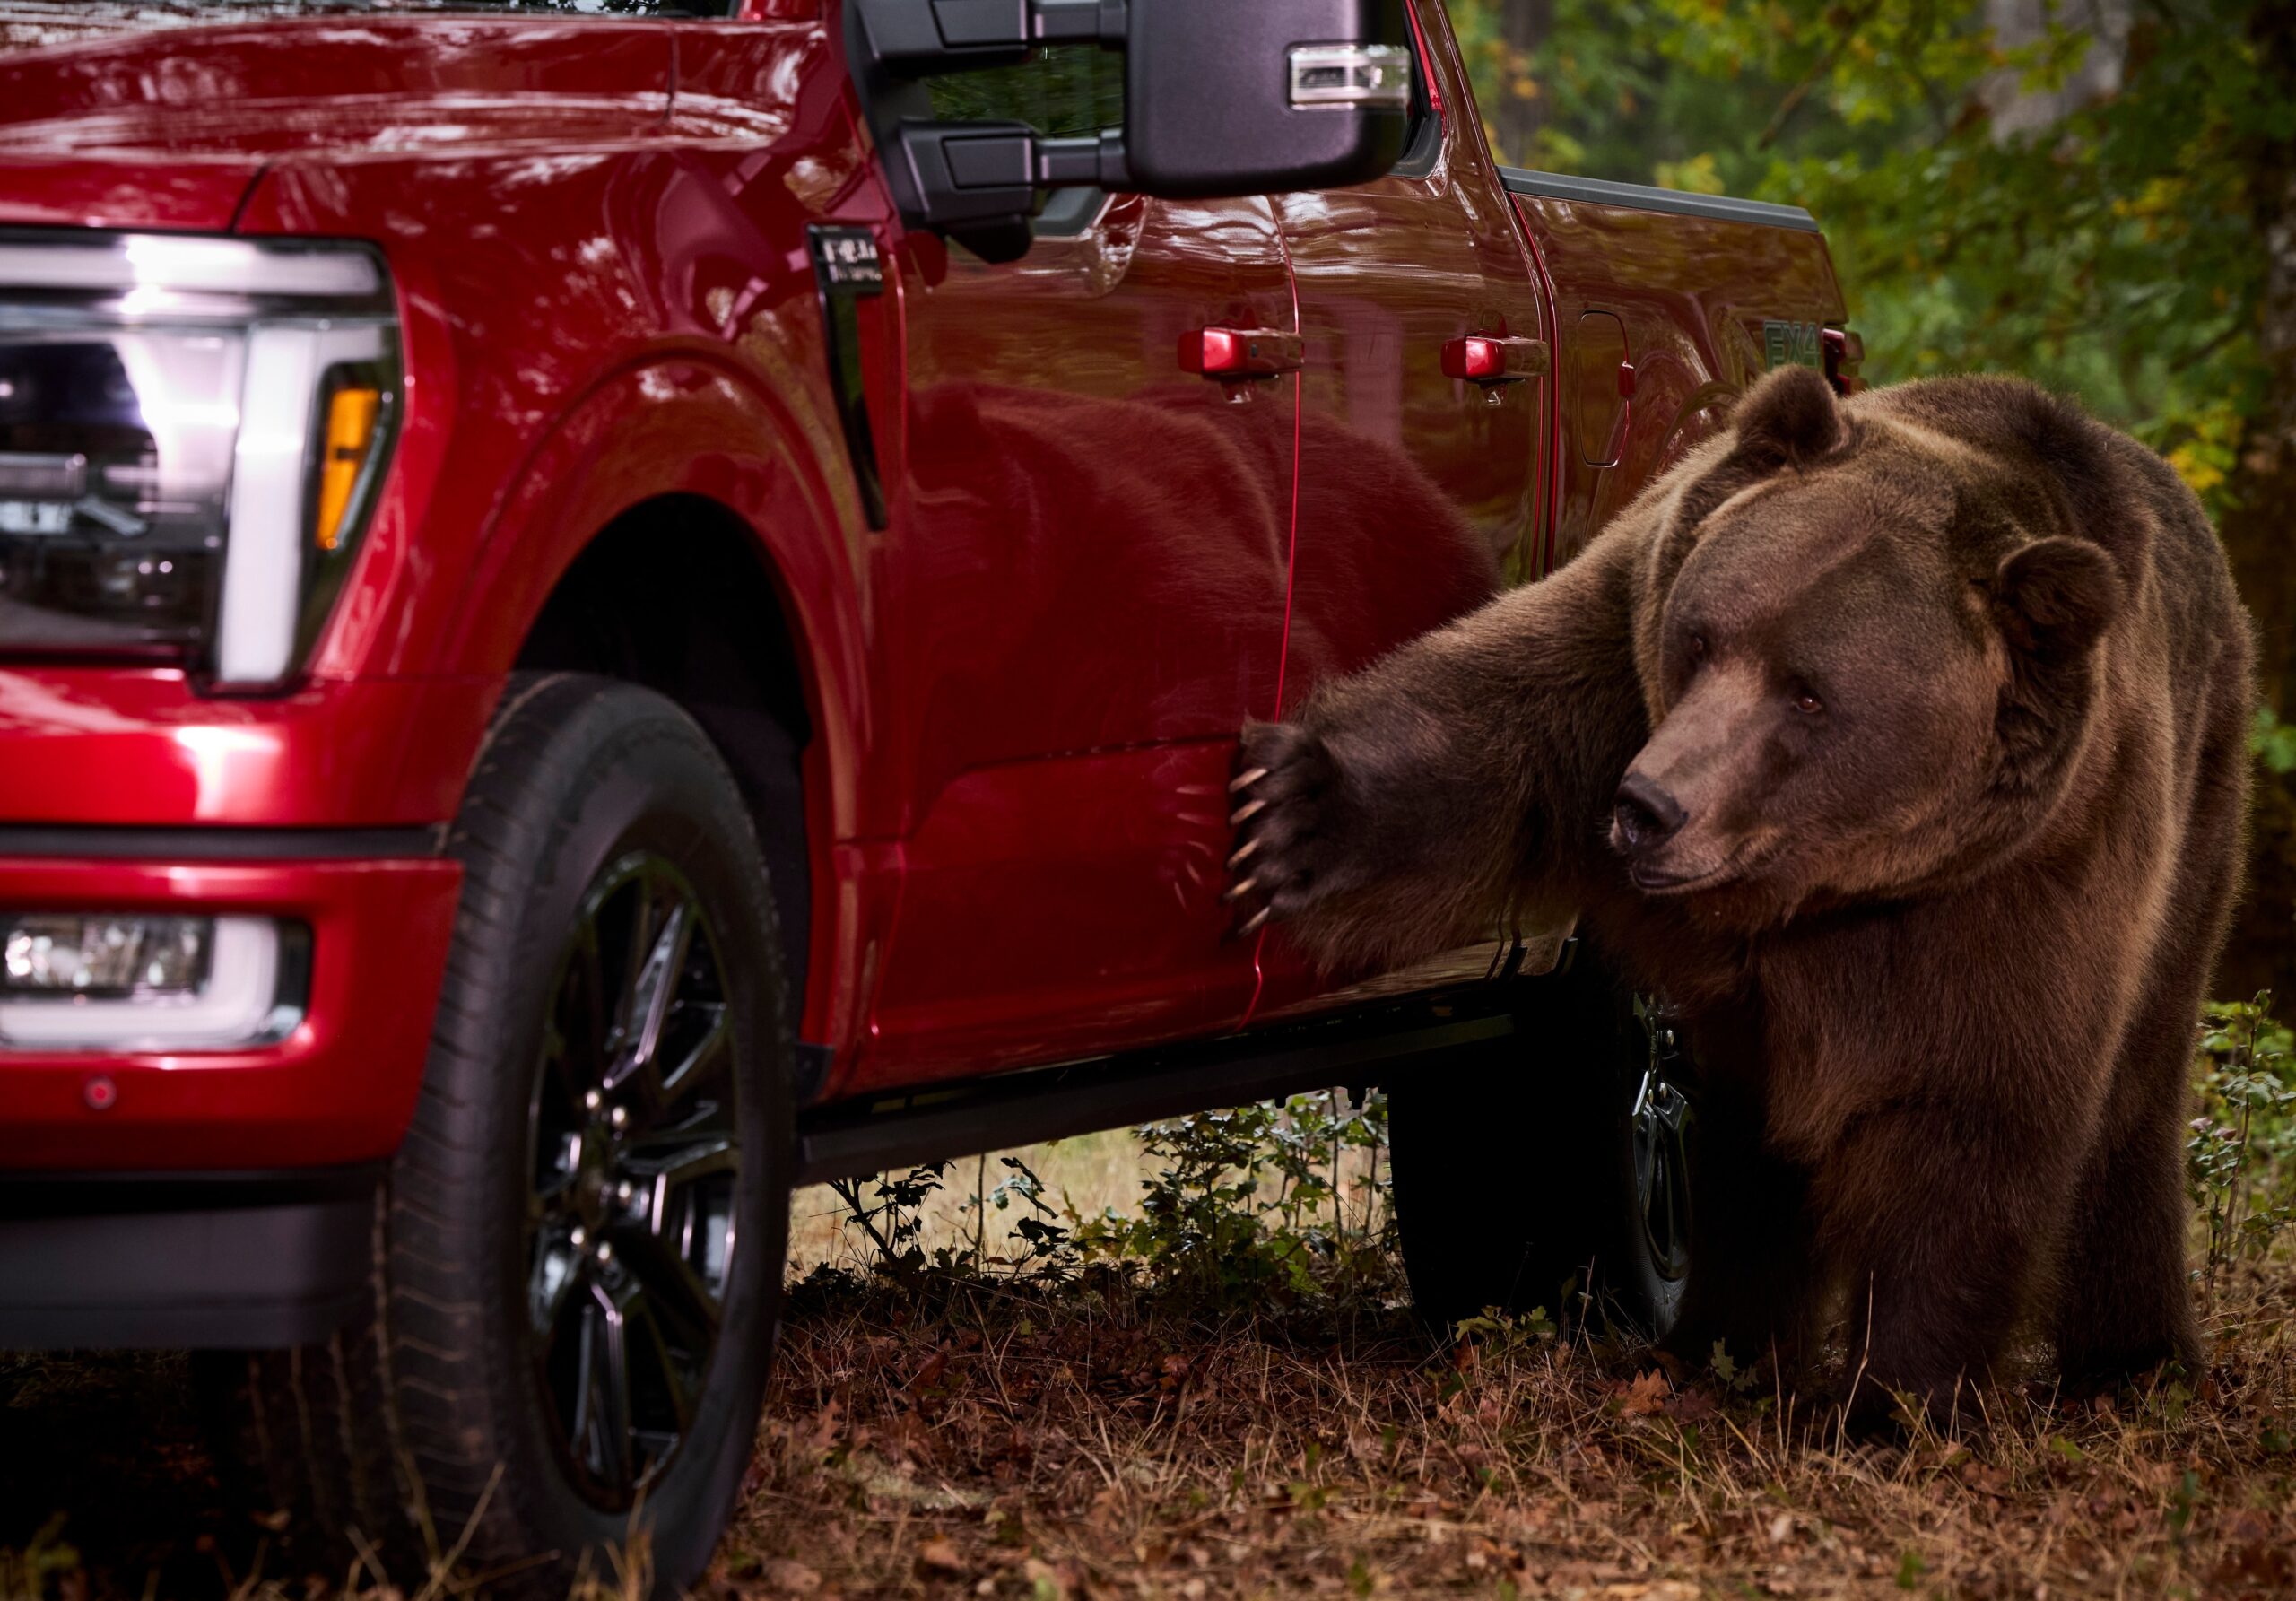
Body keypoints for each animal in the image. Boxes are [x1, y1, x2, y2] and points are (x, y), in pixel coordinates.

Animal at [1227, 365, 2255, 1422]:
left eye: (1808, 693)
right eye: (1703, 637)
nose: (1647, 806)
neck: (1808, 883)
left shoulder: (2019, 878)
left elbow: (1969, 1113)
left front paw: (1894, 1396)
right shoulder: (1617, 672)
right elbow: (1486, 738)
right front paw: (1289, 811)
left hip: (2198, 812)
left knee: (2136, 1096)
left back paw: (2137, 1361)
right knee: (1743, 1143)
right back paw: (1714, 1343)